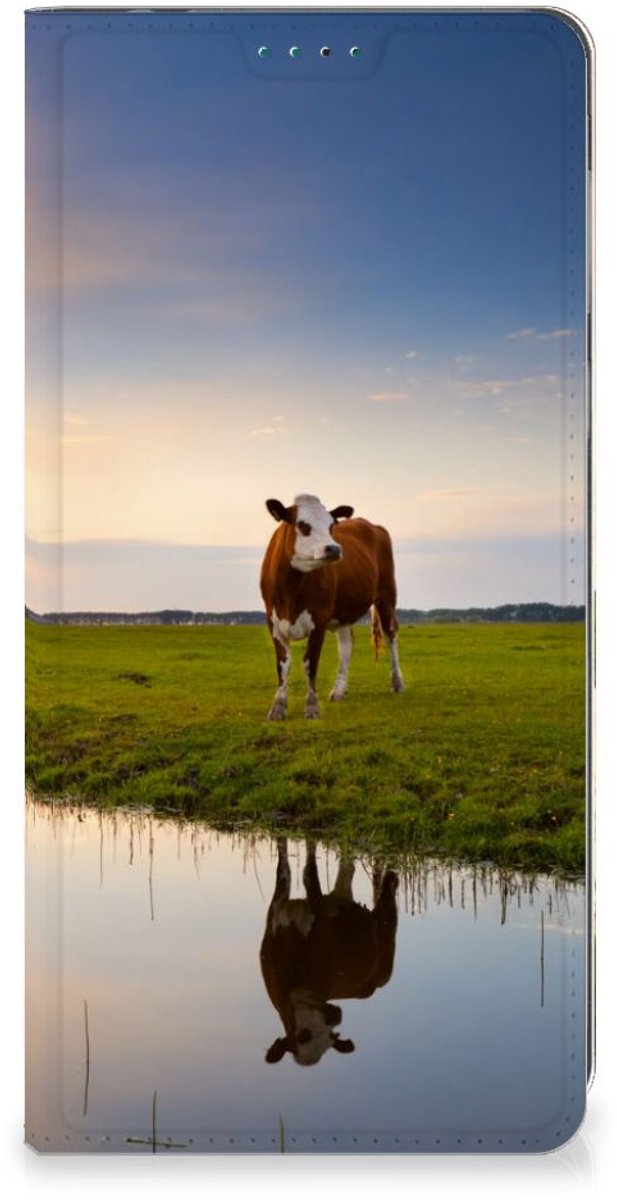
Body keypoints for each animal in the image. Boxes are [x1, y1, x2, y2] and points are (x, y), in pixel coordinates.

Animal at [260, 494, 403, 719]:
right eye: (302, 525)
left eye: (331, 525)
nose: (334, 548)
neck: (290, 590)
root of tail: (371, 525)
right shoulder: (273, 621)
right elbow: (283, 665)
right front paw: (278, 707)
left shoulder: (319, 618)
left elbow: (310, 663)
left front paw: (311, 707)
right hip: (343, 612)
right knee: (346, 644)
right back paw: (338, 691)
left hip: (386, 594)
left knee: (391, 635)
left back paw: (397, 682)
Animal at [260, 839, 398, 1067]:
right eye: (302, 1035)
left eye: (331, 1037)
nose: (335, 1016)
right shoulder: (276, 912)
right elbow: (284, 869)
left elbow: (309, 873)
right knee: (347, 868)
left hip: (386, 951)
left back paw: (391, 878)